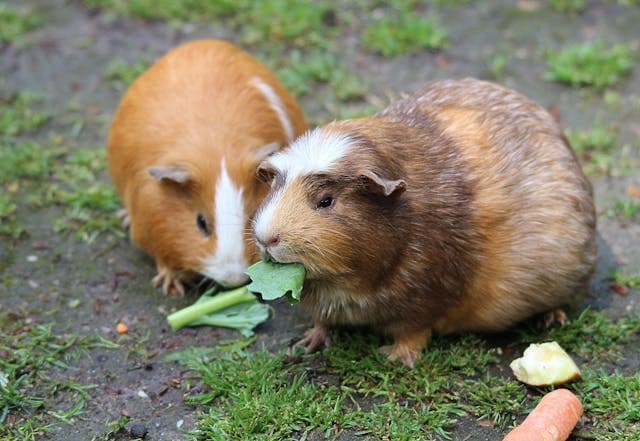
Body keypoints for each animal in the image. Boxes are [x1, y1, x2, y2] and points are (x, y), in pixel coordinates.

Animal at [108, 39, 307, 295]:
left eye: (252, 215)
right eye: (201, 222)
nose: (233, 279)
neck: (217, 152)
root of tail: (202, 42)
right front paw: (171, 286)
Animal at [252, 78, 596, 368]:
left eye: (325, 201)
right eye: (275, 188)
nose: (266, 238)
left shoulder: (423, 299)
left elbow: (413, 333)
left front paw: (394, 357)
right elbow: (322, 320)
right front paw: (308, 343)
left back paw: (552, 319)